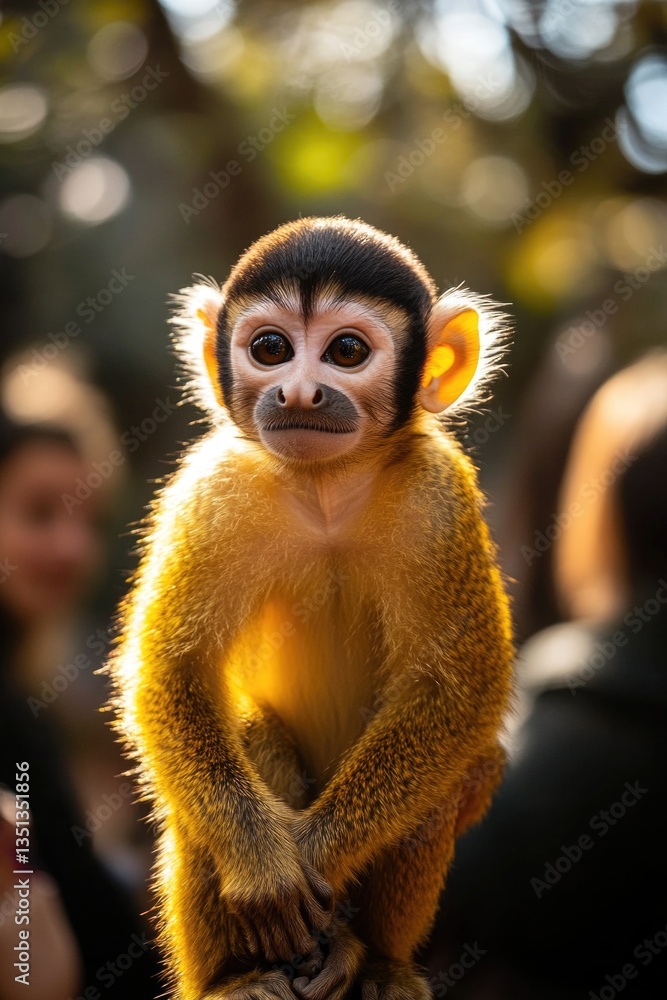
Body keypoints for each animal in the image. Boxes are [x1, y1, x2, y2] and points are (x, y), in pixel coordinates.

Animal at [109, 216, 514, 1000]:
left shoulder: (437, 496)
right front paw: (266, 870)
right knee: (249, 736)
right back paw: (233, 978)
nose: (298, 395)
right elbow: (174, 672)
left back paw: (373, 956)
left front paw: (319, 854)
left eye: (346, 352)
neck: (328, 490)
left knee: (451, 783)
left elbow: (455, 694)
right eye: (270, 349)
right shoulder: (217, 486)